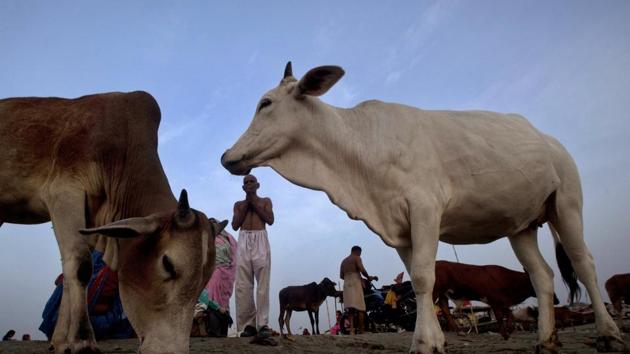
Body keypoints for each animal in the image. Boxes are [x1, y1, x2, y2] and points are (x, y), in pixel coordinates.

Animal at [0, 92, 227, 354]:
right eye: (167, 264)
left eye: (204, 280)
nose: (170, 350)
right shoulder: (63, 194)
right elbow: (79, 267)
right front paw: (82, 340)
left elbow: (68, 273)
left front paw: (61, 341)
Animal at [434, 260, 564, 340]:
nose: (557, 300)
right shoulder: (495, 301)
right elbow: (500, 318)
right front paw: (505, 334)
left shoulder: (501, 302)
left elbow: (510, 314)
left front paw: (509, 331)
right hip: (435, 290)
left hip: (443, 293)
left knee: (444, 308)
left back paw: (459, 331)